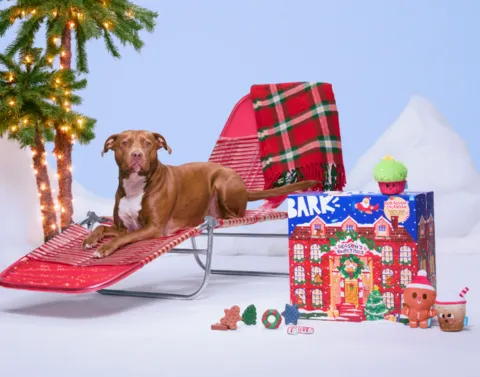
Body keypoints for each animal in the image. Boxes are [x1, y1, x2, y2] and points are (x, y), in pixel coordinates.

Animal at [81, 131, 316, 258]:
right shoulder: (122, 225)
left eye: (148, 143)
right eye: (125, 143)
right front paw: (90, 239)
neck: (135, 186)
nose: (136, 155)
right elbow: (102, 227)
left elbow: (124, 238)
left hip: (222, 182)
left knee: (235, 214)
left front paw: (105, 248)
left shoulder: (153, 228)